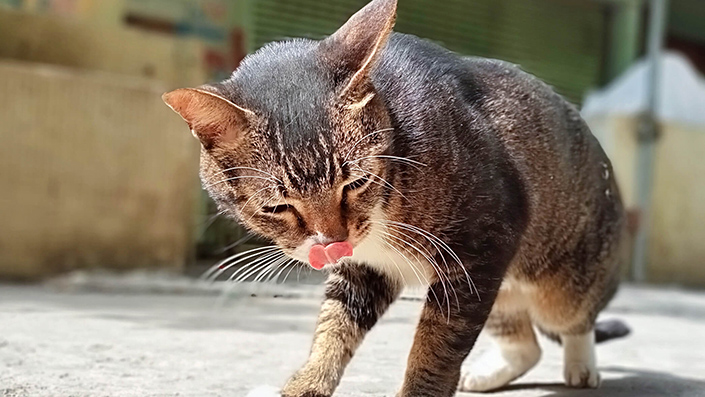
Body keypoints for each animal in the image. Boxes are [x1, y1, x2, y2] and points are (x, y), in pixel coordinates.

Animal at [161, 0, 628, 392]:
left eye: (355, 182)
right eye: (278, 206)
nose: (333, 243)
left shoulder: (481, 247)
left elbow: (435, 348)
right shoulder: (367, 270)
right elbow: (334, 328)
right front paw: (306, 383)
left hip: (559, 280)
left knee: (573, 320)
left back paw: (581, 366)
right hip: (503, 290)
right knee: (525, 345)